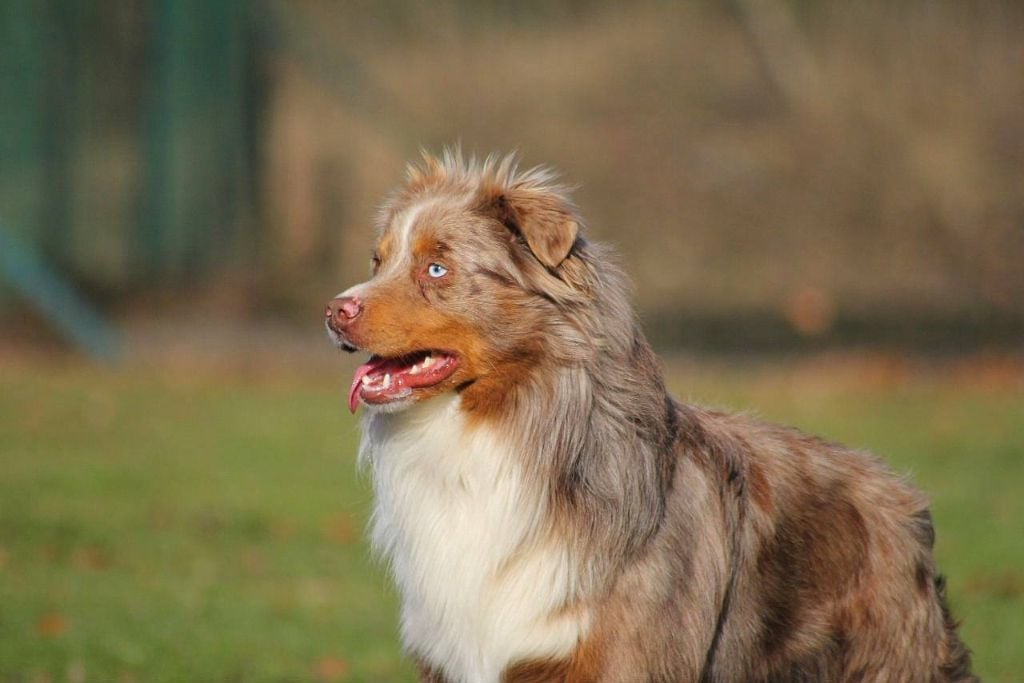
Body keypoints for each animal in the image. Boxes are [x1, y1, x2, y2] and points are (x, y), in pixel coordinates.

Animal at [327, 150, 974, 683]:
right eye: (378, 260)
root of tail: (901, 493)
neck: (503, 430)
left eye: (437, 269)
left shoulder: (621, 657)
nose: (335, 310)